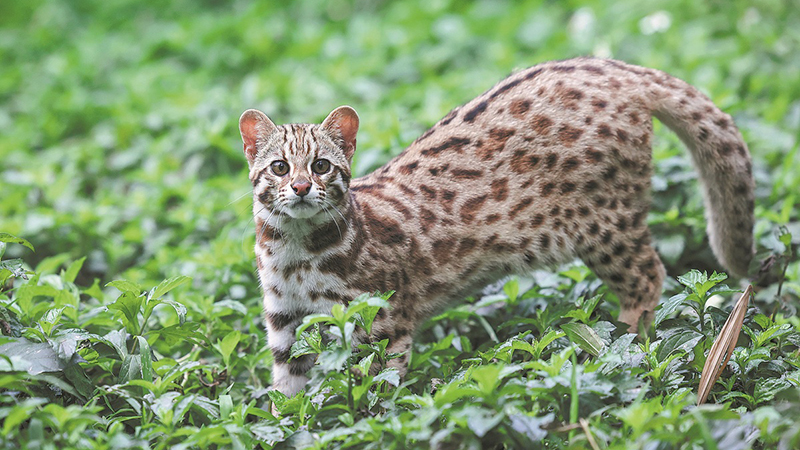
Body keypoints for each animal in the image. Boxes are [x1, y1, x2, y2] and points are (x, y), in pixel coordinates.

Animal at [239, 57, 756, 398]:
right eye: (280, 167)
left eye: (322, 166)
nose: (301, 187)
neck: (295, 251)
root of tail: (610, 67)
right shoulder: (284, 320)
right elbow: (288, 389)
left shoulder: (381, 320)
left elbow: (376, 386)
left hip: (606, 223)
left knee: (649, 275)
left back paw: (619, 351)